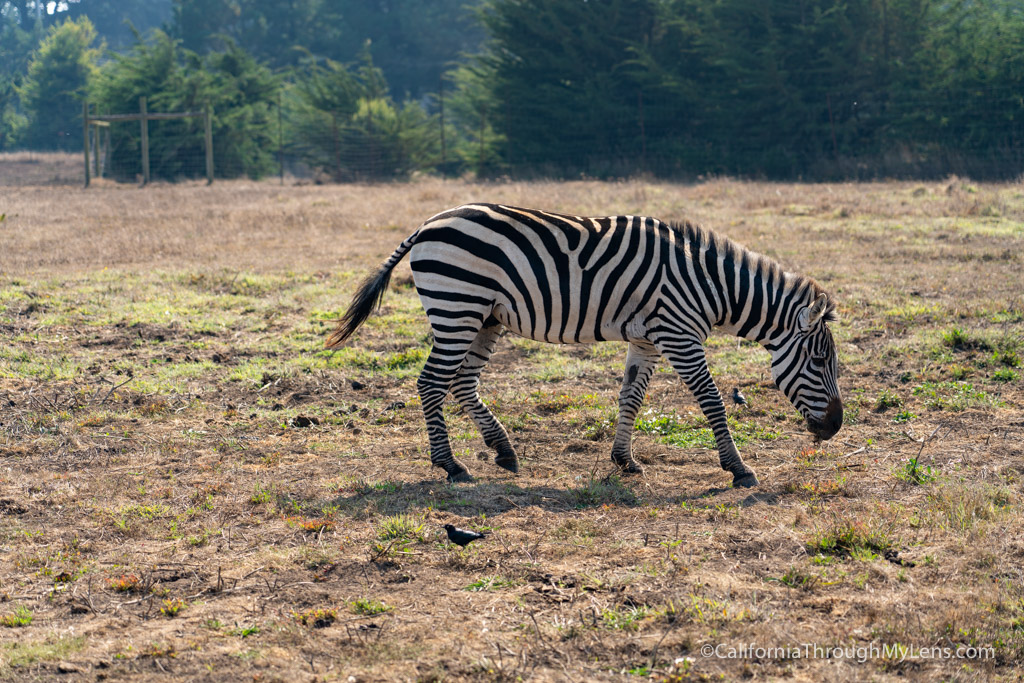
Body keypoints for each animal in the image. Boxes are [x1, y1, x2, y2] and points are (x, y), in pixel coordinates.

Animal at [325, 202, 839, 485]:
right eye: (818, 360)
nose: (834, 428)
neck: (709, 285)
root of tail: (429, 223)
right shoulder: (679, 333)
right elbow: (712, 400)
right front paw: (738, 468)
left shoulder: (647, 339)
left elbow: (631, 397)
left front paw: (625, 460)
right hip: (457, 306)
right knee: (432, 383)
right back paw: (450, 465)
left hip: (484, 316)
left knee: (463, 382)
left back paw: (503, 451)